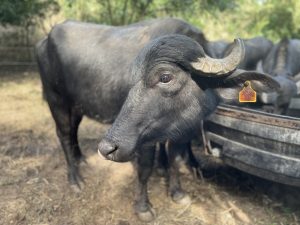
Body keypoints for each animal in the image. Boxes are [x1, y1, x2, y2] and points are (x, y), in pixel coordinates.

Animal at [35, 18, 278, 221]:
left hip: (77, 105)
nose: (106, 148)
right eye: (133, 79)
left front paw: (177, 191)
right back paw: (75, 180)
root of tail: (45, 40)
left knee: (73, 131)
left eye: (165, 77)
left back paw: (81, 160)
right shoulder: (142, 139)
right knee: (64, 134)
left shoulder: (181, 132)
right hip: (57, 100)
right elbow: (144, 169)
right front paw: (143, 207)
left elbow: (174, 158)